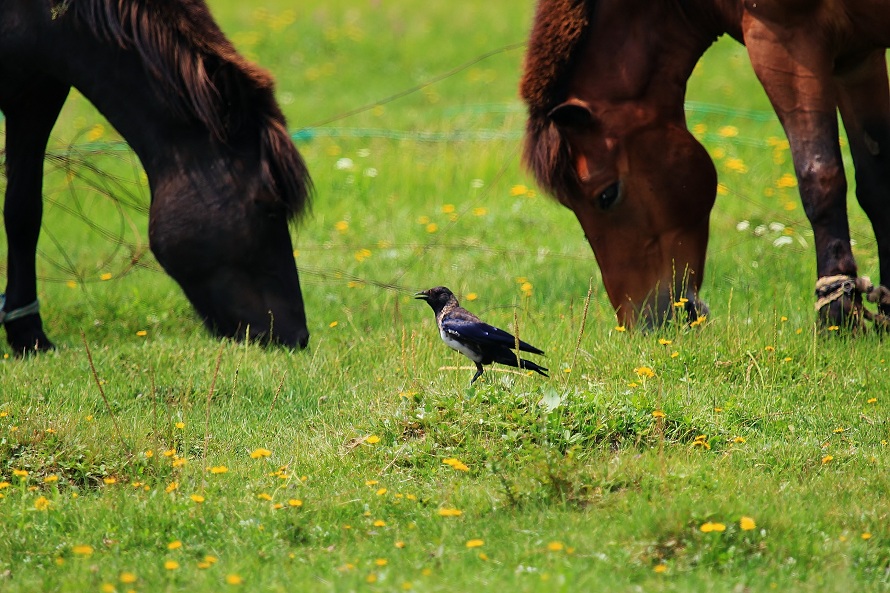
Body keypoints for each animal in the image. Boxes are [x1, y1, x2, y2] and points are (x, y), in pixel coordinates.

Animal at [516, 0, 888, 328]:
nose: (644, 323)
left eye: (606, 195)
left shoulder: (785, 43)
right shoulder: (857, 58)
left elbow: (819, 175)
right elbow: (875, 183)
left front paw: (838, 315)